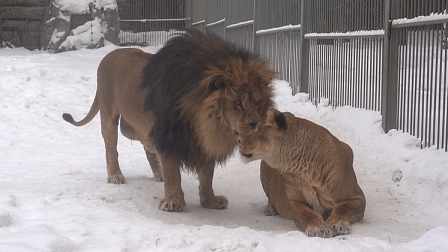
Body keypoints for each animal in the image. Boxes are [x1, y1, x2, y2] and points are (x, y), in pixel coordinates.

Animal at [61, 31, 274, 213]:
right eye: (237, 103)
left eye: (259, 102)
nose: (256, 124)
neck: (207, 123)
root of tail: (108, 55)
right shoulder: (169, 136)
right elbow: (173, 173)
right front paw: (173, 202)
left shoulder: (201, 142)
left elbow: (207, 175)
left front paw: (210, 201)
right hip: (108, 115)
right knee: (112, 147)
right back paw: (115, 175)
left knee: (138, 138)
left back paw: (157, 171)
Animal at [240, 109, 366, 238]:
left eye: (258, 129)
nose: (239, 140)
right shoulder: (295, 203)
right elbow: (308, 214)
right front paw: (318, 228)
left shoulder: (358, 197)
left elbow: (343, 207)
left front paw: (339, 224)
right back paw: (271, 208)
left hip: (348, 147)